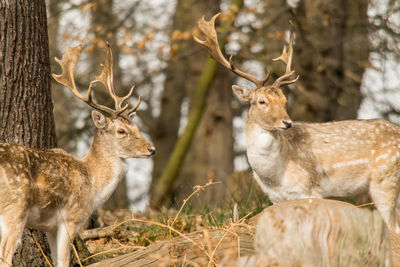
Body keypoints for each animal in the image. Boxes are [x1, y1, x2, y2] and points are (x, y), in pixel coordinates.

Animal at [0, 44, 155, 267]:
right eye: (121, 131)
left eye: (136, 127)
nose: (151, 149)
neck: (93, 184)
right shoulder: (71, 218)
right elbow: (64, 261)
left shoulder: (50, 227)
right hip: (14, 207)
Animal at [195, 13, 400, 233]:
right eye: (262, 101)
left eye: (285, 101)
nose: (287, 122)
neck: (275, 177)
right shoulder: (277, 198)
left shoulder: (310, 189)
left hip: (385, 179)